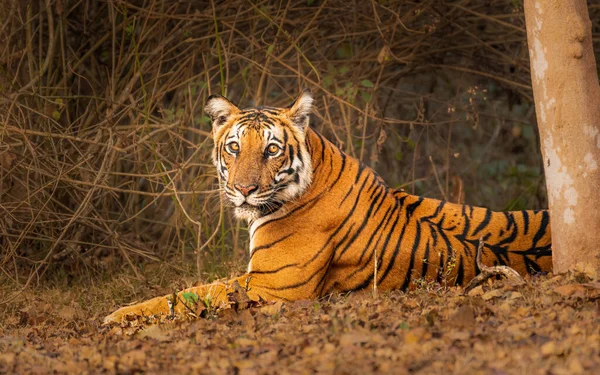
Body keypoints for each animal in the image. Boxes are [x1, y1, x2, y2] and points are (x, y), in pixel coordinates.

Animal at [104, 90, 552, 324]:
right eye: (234, 147)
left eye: (271, 150)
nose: (243, 190)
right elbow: (188, 291)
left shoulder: (269, 287)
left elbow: (188, 296)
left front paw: (115, 317)